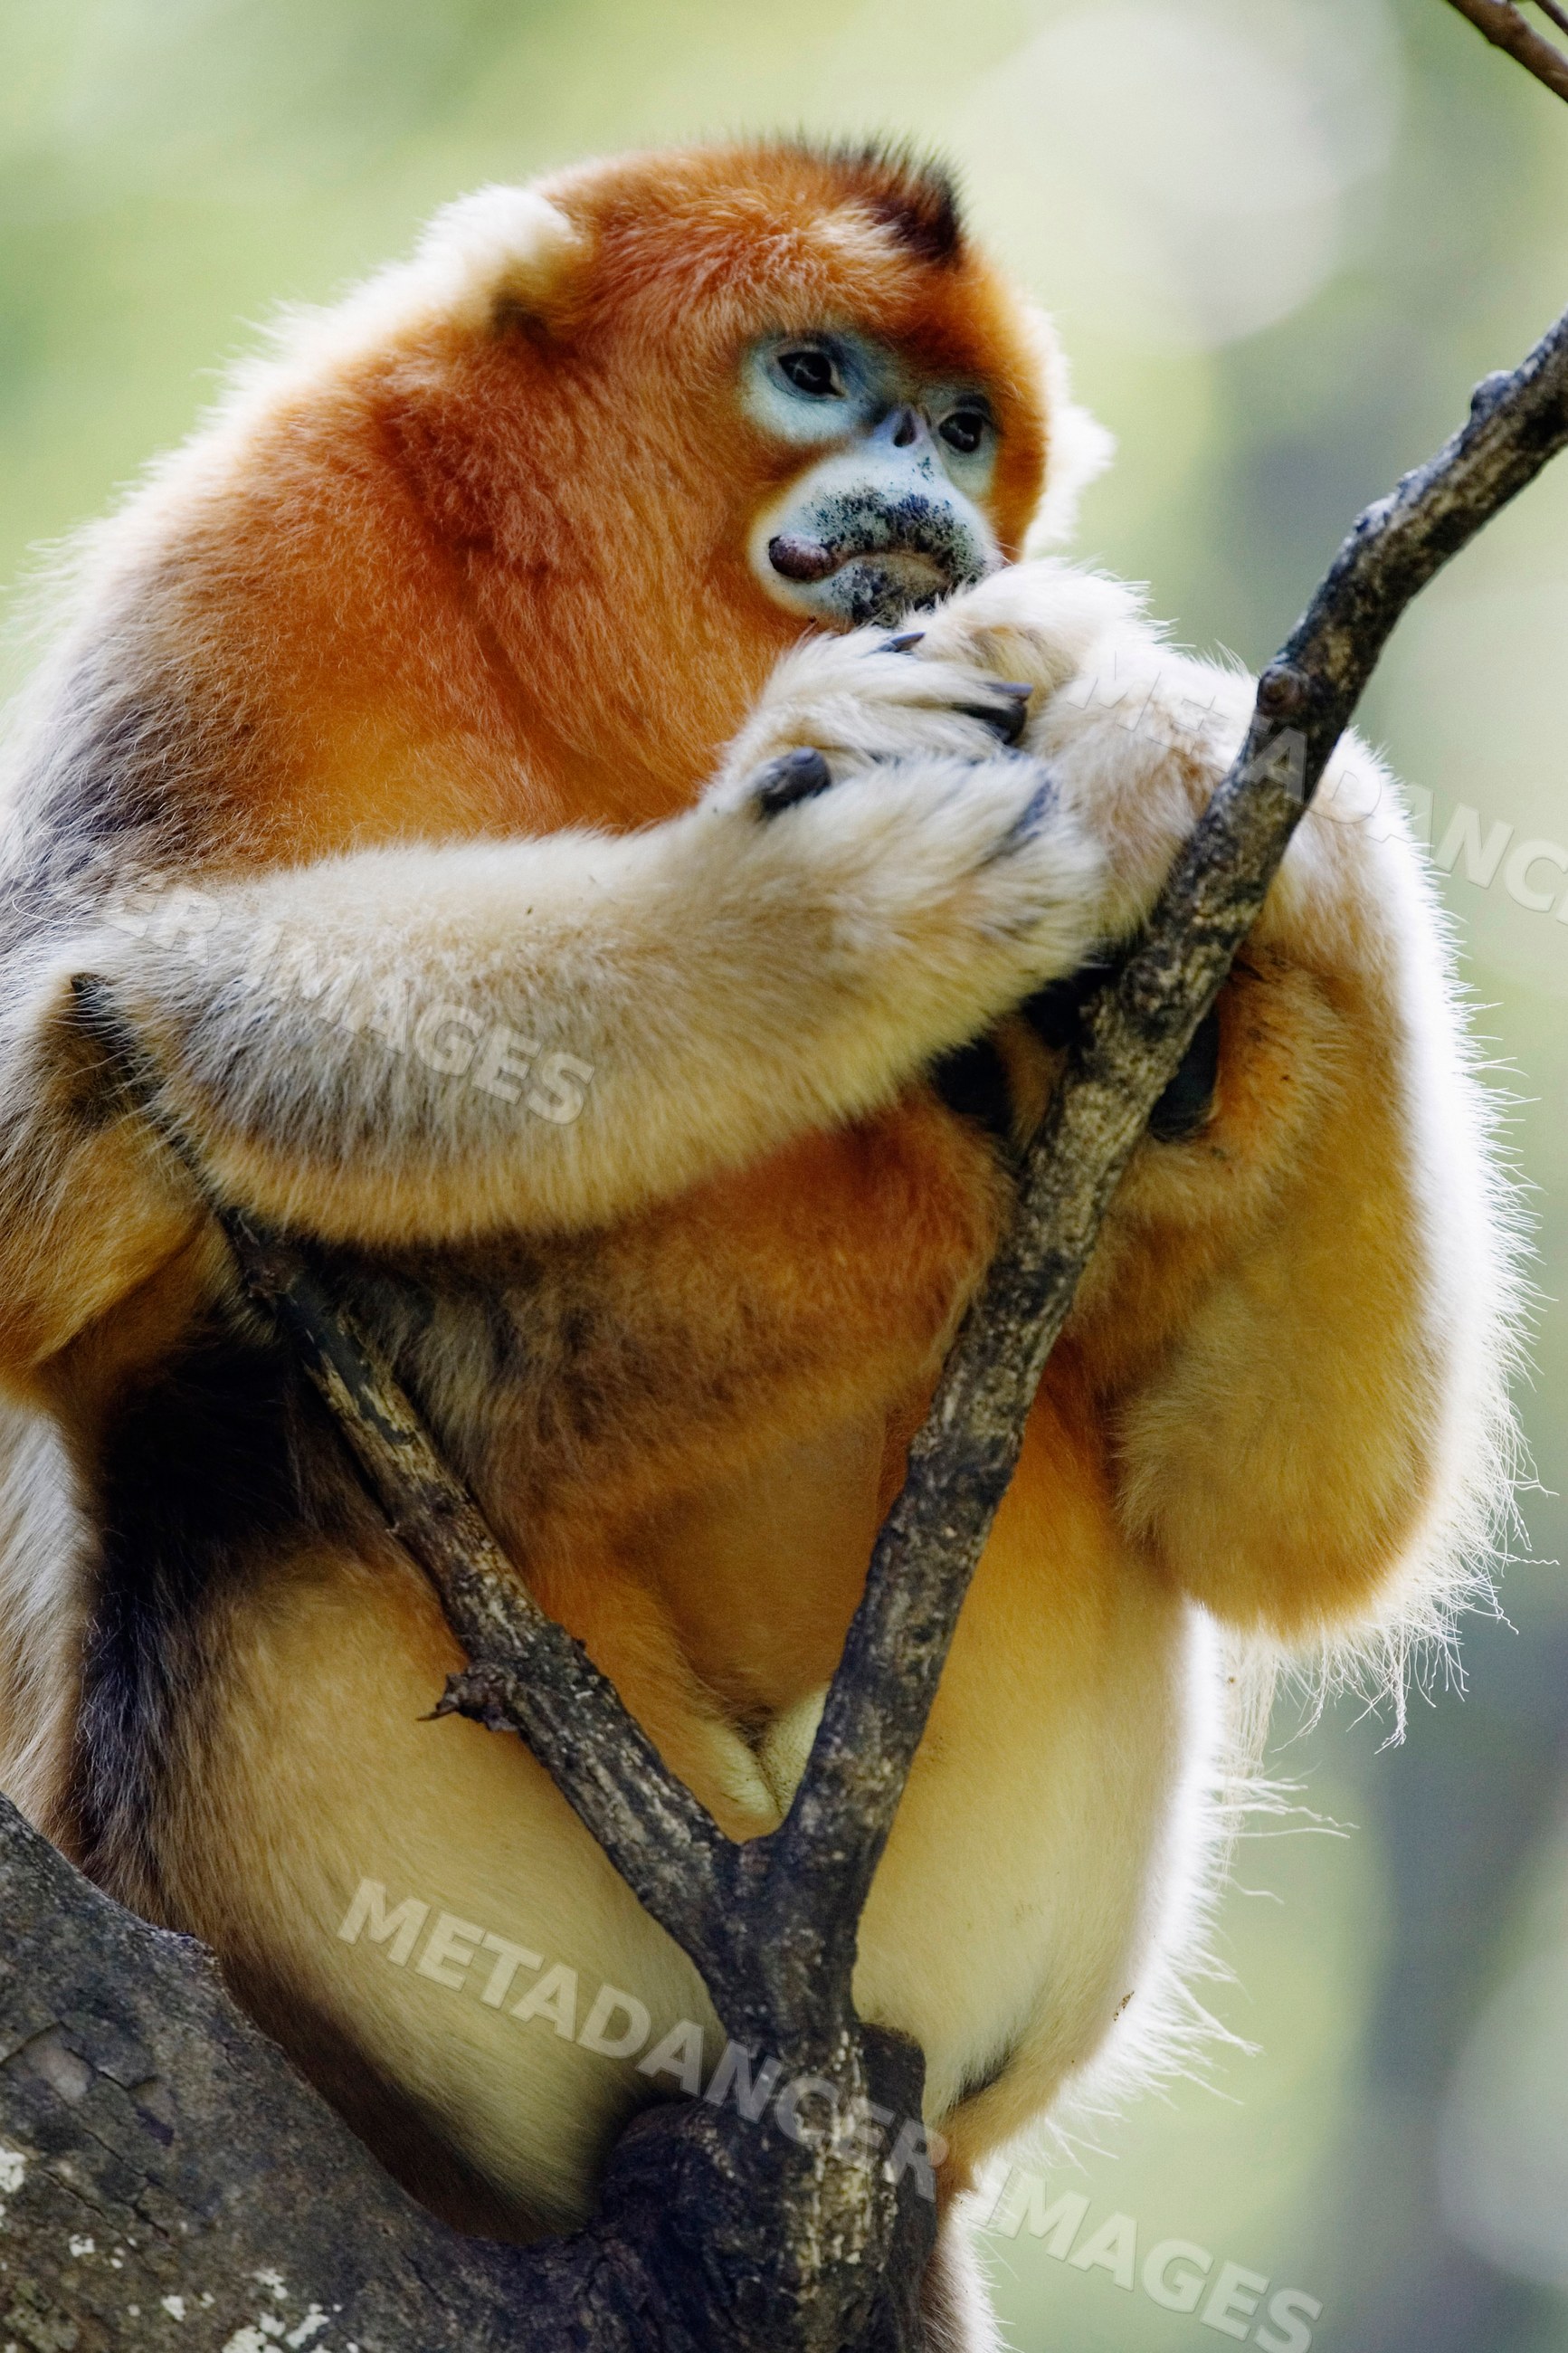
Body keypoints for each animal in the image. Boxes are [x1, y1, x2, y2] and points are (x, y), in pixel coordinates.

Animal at [0, 140, 1515, 2347]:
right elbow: (58, 1102)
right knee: (222, 1452)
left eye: (958, 423)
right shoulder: (222, 597)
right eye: (812, 372)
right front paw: (817, 910)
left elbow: (1286, 1525)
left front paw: (1180, 760)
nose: (915, 487)